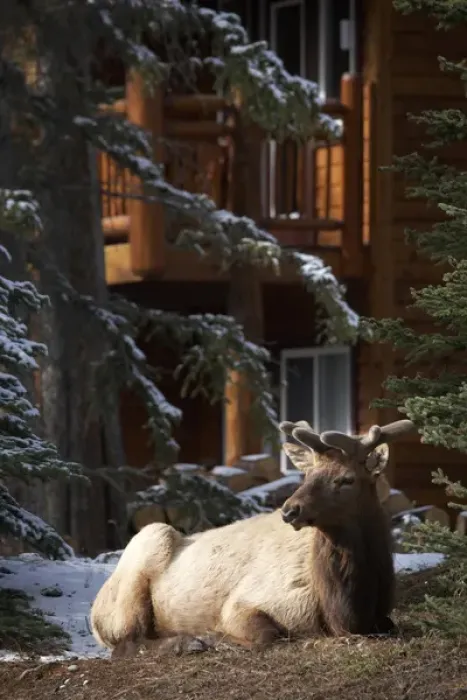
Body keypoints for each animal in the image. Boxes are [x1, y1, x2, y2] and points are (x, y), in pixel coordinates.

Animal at [90, 419, 414, 657]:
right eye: (307, 474)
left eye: (346, 479)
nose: (290, 510)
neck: (346, 609)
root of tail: (94, 614)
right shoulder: (244, 605)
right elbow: (269, 636)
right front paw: (213, 637)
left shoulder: (381, 615)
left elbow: (391, 624)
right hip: (145, 551)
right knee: (126, 644)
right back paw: (188, 642)